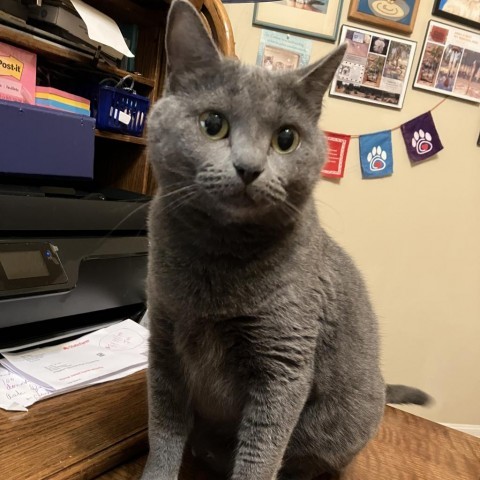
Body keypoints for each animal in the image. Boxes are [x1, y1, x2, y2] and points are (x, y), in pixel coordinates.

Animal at [142, 1, 428, 478]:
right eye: (213, 124)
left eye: (287, 138)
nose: (249, 168)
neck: (216, 257)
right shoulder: (163, 338)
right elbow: (163, 430)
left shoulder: (284, 363)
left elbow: (261, 450)